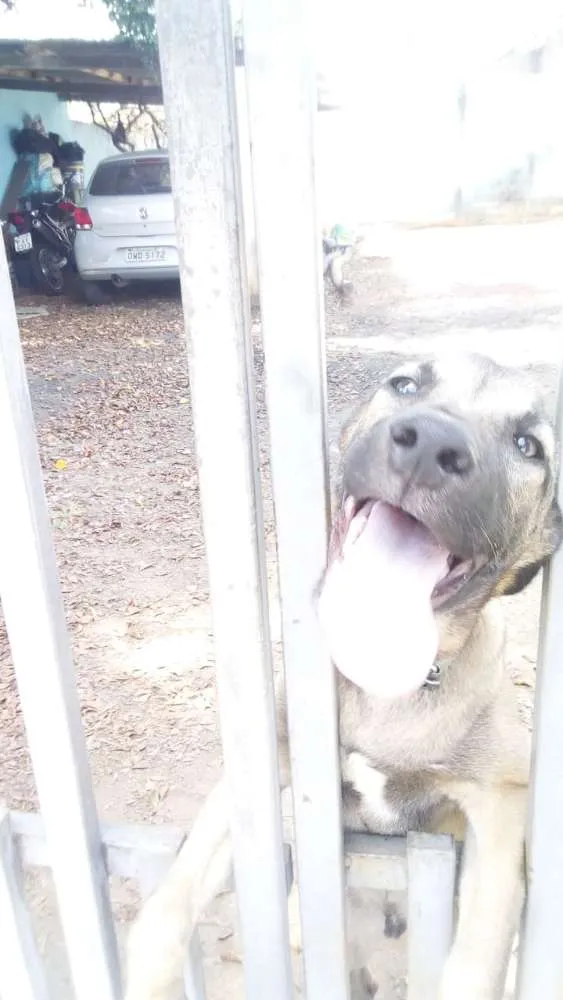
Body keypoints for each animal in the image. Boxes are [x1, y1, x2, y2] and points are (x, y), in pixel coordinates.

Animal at [125, 352, 560, 1000]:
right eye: (406, 384)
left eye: (529, 445)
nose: (431, 444)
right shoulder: (265, 764)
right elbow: (177, 889)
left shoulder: (500, 804)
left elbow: (476, 953)